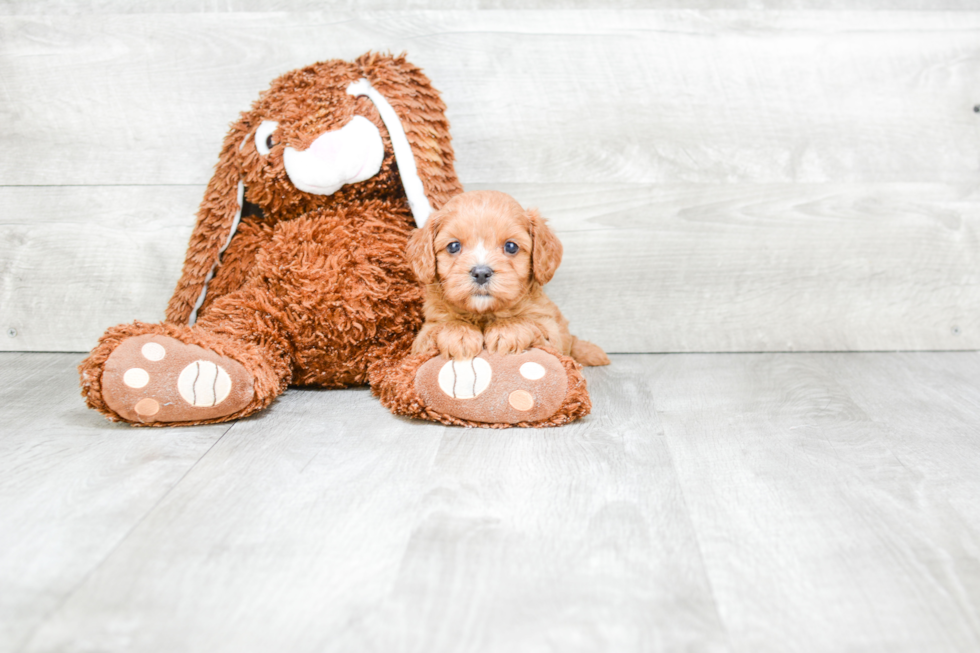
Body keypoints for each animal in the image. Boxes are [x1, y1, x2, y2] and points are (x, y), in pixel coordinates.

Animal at [404, 187, 604, 366]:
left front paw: (508, 329)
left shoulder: (551, 331)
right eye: (453, 246)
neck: (485, 314)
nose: (481, 273)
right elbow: (442, 326)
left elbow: (529, 322)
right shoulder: (424, 335)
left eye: (511, 246)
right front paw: (459, 333)